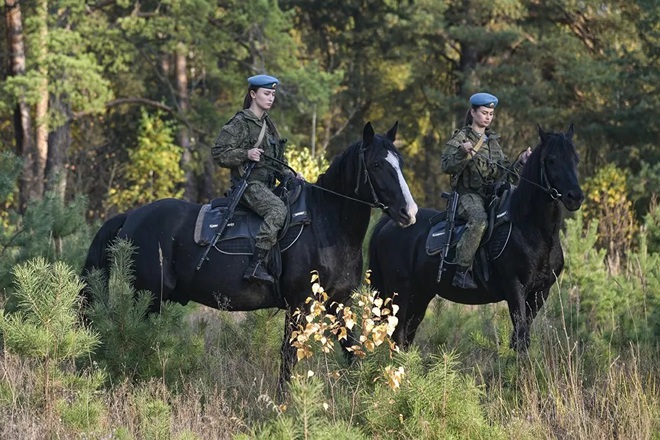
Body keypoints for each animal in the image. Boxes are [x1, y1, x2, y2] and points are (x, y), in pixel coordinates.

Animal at [84, 121, 418, 392]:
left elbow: (352, 351)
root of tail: (131, 216)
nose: (409, 212)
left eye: (399, 162)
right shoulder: (298, 305)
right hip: (148, 296)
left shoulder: (338, 305)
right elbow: (288, 357)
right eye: (376, 164)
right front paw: (285, 405)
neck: (326, 224)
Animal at [372, 125, 584, 352]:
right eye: (551, 160)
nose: (575, 197)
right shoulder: (515, 288)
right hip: (399, 292)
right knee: (397, 334)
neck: (532, 230)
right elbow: (520, 338)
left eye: (575, 159)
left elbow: (521, 337)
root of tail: (389, 223)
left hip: (420, 295)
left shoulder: (540, 293)